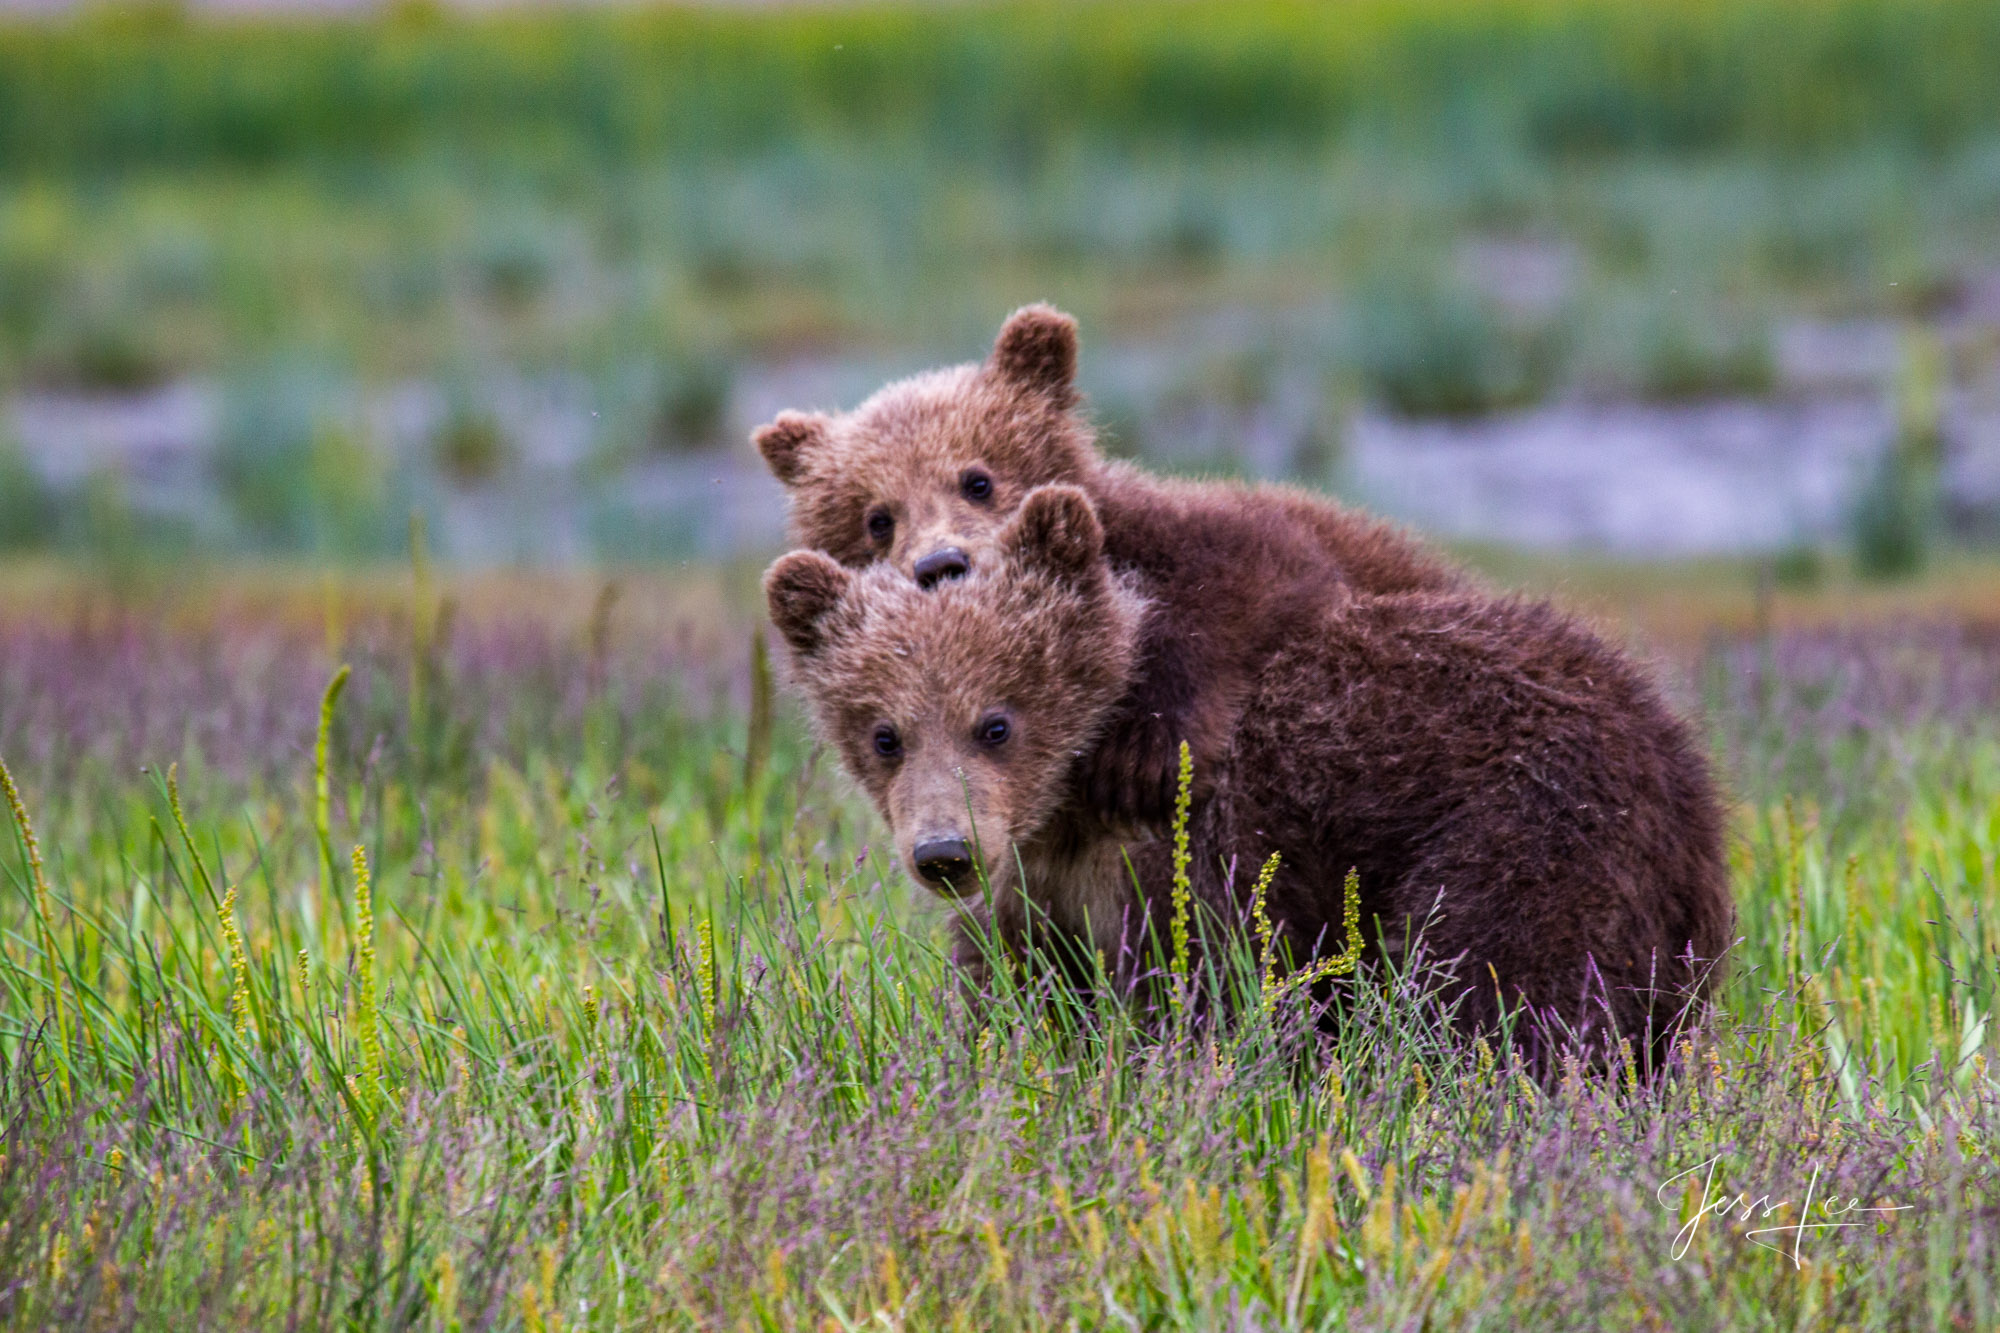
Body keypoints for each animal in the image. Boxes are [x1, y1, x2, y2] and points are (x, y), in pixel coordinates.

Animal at [752, 304, 1456, 820]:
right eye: (877, 517)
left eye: (977, 479)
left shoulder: (1223, 543)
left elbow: (1247, 593)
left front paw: (1137, 761)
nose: (941, 562)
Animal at [764, 486, 1736, 1056]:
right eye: (883, 733)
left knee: (1503, 989)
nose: (944, 852)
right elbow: (1020, 987)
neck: (1074, 799)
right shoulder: (1036, 883)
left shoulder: (1202, 842)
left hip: (1531, 835)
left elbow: (1205, 983)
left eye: (995, 722)